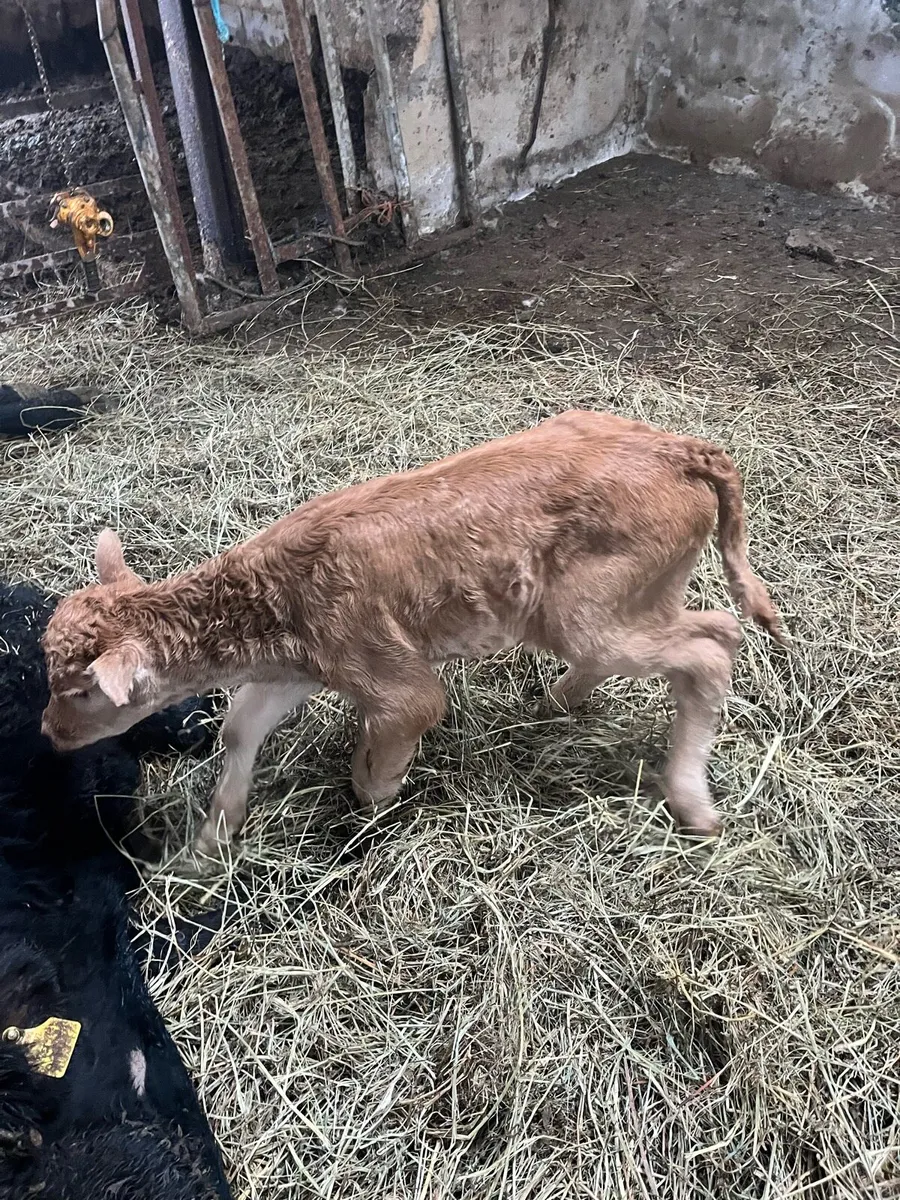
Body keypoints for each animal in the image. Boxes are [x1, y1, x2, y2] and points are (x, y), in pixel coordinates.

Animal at [40, 410, 787, 860]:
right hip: (627, 598)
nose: (48, 733)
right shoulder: (298, 667)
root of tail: (680, 449)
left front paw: (378, 800)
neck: (274, 598)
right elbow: (239, 729)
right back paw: (555, 702)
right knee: (711, 627)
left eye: (82, 692)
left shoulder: (389, 679)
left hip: (593, 609)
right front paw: (212, 839)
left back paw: (692, 801)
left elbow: (383, 760)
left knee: (710, 645)